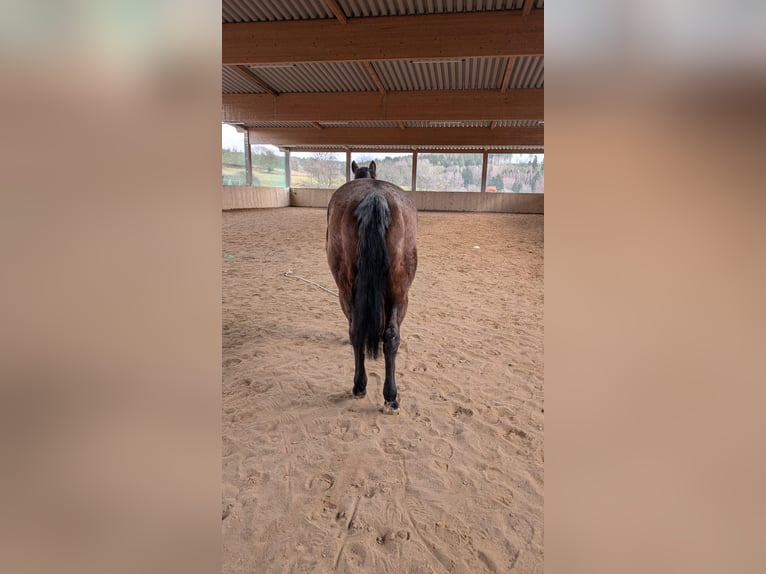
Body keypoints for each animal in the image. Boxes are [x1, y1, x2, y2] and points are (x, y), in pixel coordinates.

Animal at [326, 161, 418, 413]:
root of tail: (375, 196)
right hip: (400, 291)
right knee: (391, 336)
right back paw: (391, 396)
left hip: (346, 290)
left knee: (355, 331)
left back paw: (360, 385)